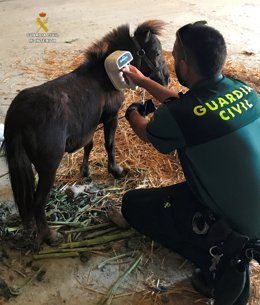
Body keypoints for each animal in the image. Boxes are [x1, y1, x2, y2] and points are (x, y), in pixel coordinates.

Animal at [2, 19, 171, 245]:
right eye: (156, 52)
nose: (167, 80)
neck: (105, 76)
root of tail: (18, 114)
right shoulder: (110, 117)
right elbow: (109, 144)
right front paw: (116, 170)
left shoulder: (88, 126)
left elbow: (89, 146)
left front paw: (86, 172)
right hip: (48, 167)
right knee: (38, 202)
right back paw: (50, 235)